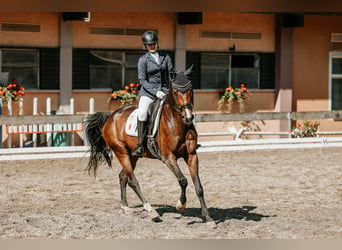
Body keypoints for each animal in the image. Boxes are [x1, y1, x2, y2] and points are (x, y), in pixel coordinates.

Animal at [84, 66, 215, 227]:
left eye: (190, 90)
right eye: (175, 91)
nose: (188, 117)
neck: (178, 123)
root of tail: (111, 116)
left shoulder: (191, 156)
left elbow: (199, 187)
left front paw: (208, 219)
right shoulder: (168, 158)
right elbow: (183, 180)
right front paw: (180, 205)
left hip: (132, 156)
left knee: (123, 177)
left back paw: (125, 207)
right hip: (121, 152)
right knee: (132, 181)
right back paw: (151, 210)